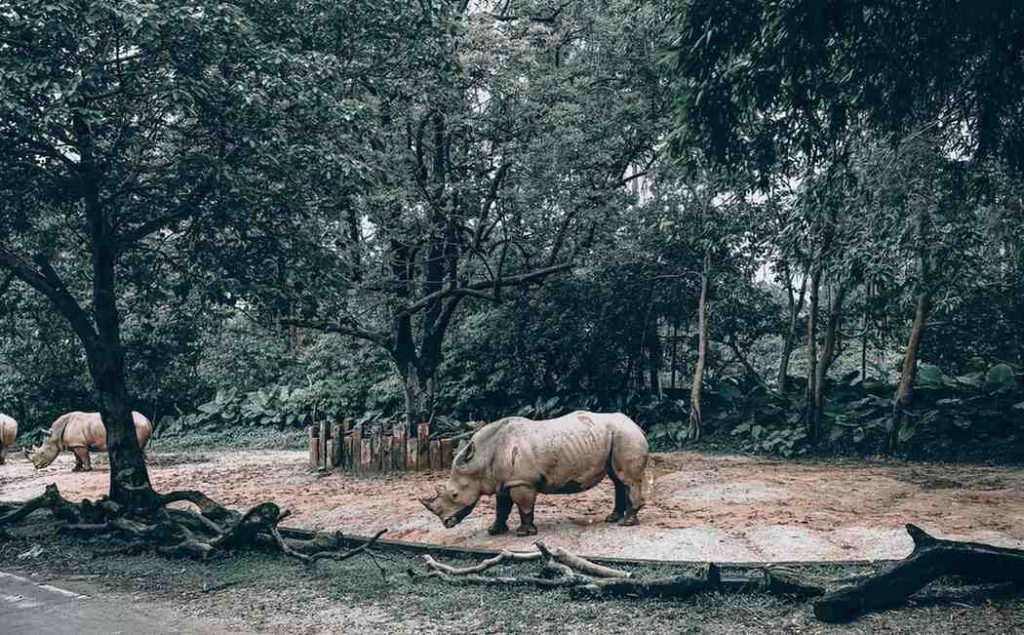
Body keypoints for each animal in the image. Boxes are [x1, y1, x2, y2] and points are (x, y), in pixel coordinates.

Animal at [420, 411, 649, 536]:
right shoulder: (504, 482)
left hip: (625, 436)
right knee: (617, 480)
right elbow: (501, 507)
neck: (480, 459)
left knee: (627, 480)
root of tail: (635, 424)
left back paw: (627, 523)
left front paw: (524, 533)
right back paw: (613, 518)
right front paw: (494, 531)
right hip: (616, 435)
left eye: (454, 495)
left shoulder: (522, 482)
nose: (446, 523)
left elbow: (524, 507)